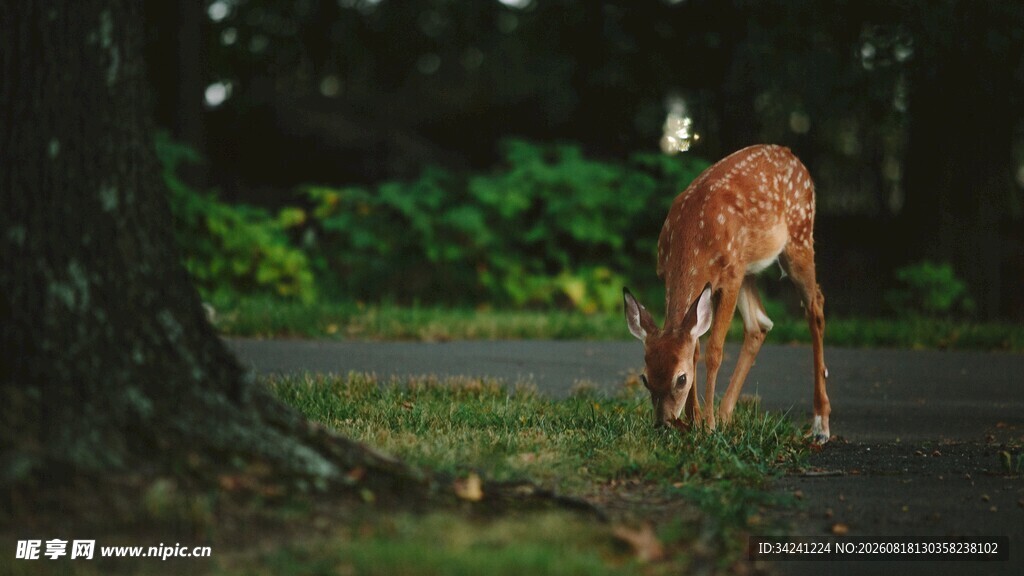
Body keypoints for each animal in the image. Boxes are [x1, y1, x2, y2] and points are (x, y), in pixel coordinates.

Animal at [623, 144, 831, 444]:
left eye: (681, 379)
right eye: (645, 378)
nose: (663, 423)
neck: (693, 237)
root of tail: (792, 155)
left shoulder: (730, 277)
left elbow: (713, 351)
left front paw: (706, 425)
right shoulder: (672, 275)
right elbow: (695, 347)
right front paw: (695, 421)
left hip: (799, 237)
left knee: (815, 307)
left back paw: (820, 424)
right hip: (749, 268)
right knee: (759, 324)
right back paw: (725, 415)